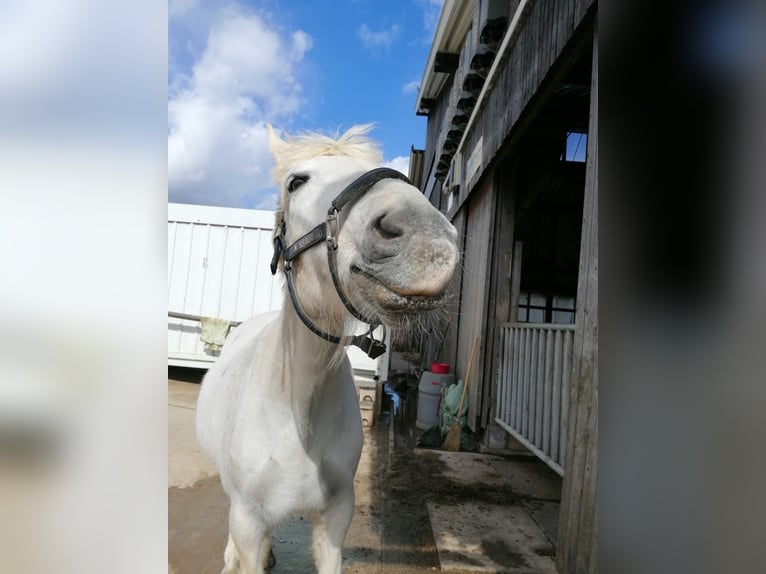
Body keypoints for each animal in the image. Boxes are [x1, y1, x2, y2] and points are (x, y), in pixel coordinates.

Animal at [200, 126, 462, 574]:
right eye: (296, 182)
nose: (428, 241)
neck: (297, 412)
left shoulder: (337, 517)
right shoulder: (247, 518)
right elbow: (246, 546)